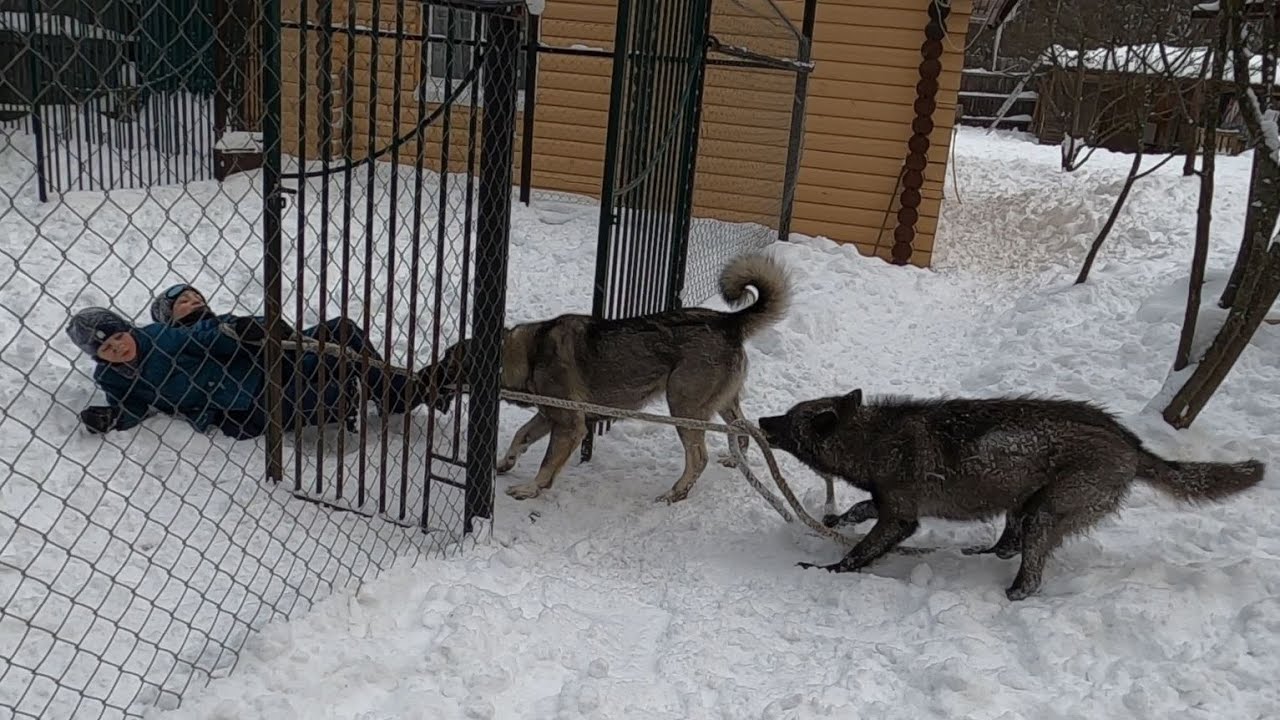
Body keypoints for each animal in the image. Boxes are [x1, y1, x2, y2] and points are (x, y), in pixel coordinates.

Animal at [428, 253, 792, 503]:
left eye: (447, 361)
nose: (429, 375)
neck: (526, 354)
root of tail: (729, 321)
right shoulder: (549, 416)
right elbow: (521, 435)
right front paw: (505, 463)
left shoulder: (570, 425)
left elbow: (546, 463)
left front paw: (531, 488)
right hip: (720, 403)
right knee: (743, 428)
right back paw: (734, 459)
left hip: (682, 405)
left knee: (698, 458)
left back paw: (675, 494)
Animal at [757, 389, 1266, 600]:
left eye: (789, 418)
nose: (761, 419)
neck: (873, 440)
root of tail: (1132, 445)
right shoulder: (888, 506)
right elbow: (858, 510)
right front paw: (833, 521)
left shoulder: (901, 518)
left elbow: (859, 552)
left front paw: (828, 569)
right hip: (1024, 503)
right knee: (1009, 543)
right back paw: (986, 553)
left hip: (1046, 513)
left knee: (1031, 570)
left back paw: (1013, 596)